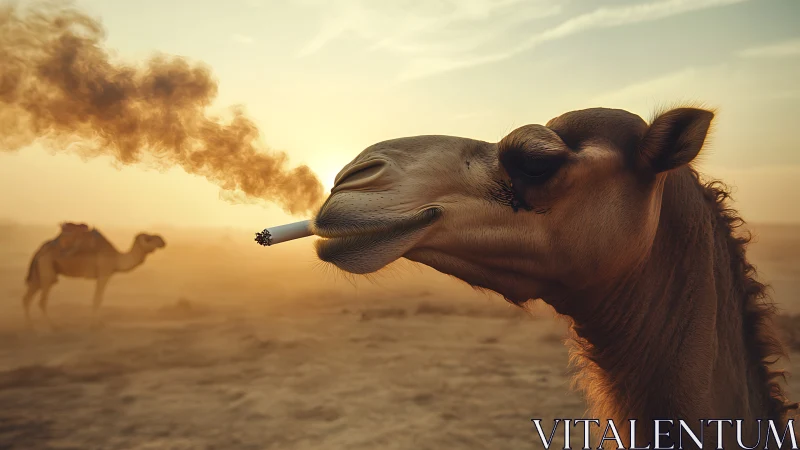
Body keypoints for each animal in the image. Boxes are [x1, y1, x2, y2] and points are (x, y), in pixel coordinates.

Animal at [22, 222, 166, 328]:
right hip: (46, 267)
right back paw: (51, 327)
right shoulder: (104, 274)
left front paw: (97, 323)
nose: (162, 241)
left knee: (27, 298)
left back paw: (30, 327)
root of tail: (39, 251)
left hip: (40, 272)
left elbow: (97, 298)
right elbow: (97, 299)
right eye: (148, 238)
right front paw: (95, 324)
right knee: (41, 301)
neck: (116, 258)